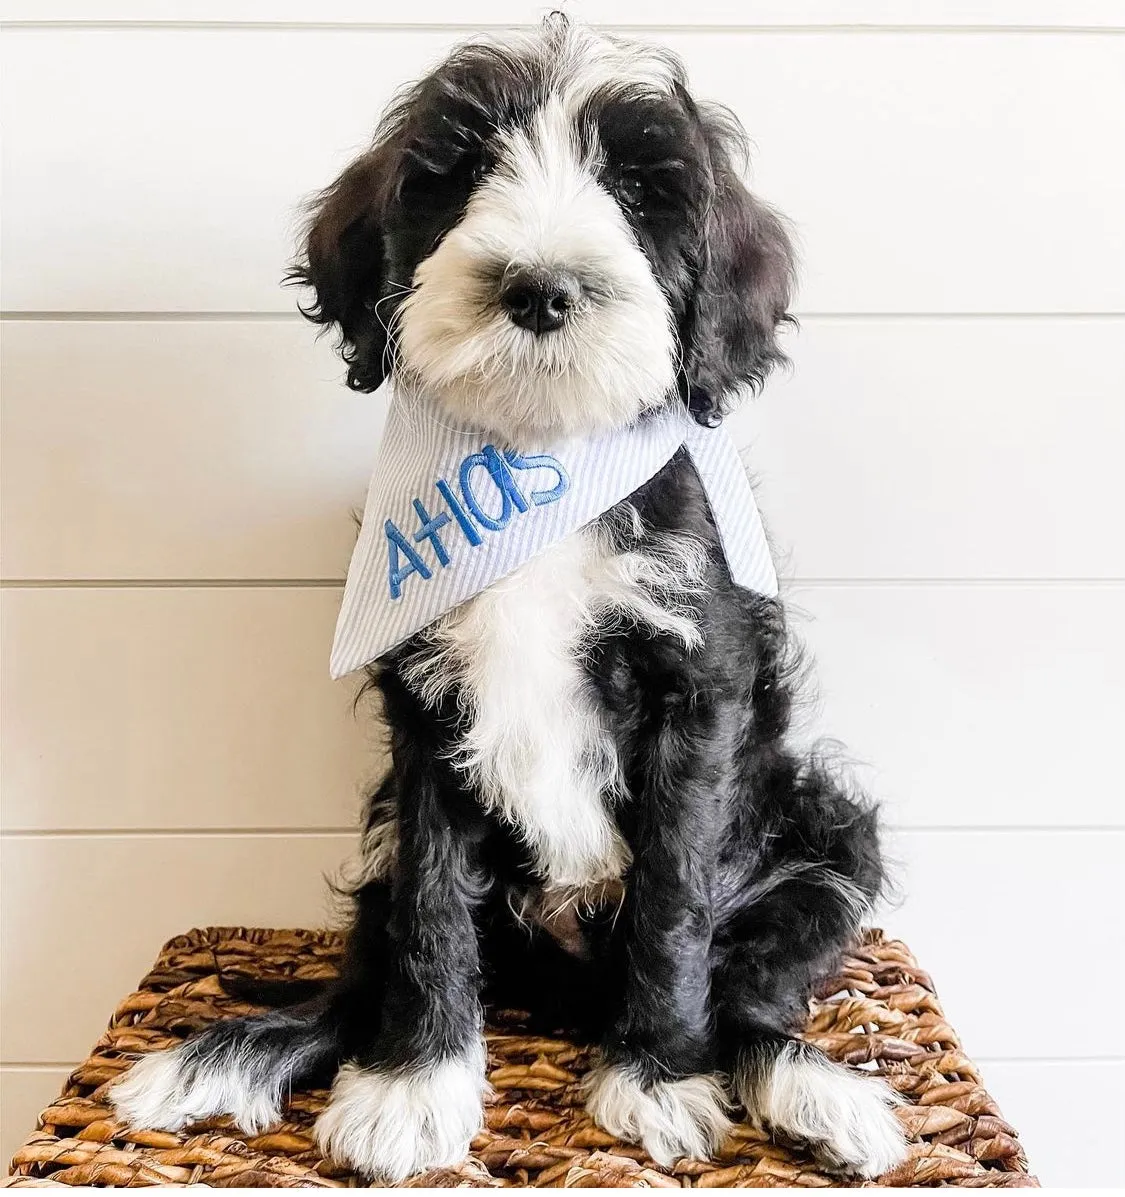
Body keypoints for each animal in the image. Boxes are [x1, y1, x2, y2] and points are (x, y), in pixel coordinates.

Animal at [111, 18, 904, 1187]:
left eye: (638, 187)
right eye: (464, 169)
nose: (539, 289)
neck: (538, 458)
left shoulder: (696, 691)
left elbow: (675, 900)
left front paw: (655, 1077)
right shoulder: (425, 709)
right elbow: (433, 910)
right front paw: (413, 1088)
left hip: (825, 832)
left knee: (750, 990)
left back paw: (810, 1090)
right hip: (383, 844)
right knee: (366, 968)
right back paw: (227, 1056)